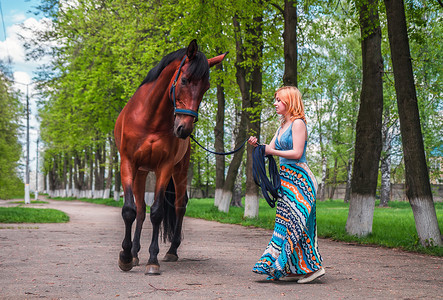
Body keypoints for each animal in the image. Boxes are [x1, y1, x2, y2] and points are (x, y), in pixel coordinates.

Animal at [115, 41, 225, 276]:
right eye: (184, 80)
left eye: (206, 87)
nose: (184, 128)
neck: (150, 119)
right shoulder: (128, 163)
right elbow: (130, 210)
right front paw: (126, 257)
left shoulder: (165, 167)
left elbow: (157, 212)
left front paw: (153, 260)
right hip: (141, 172)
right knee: (140, 210)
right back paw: (135, 253)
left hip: (179, 171)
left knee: (179, 205)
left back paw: (172, 251)